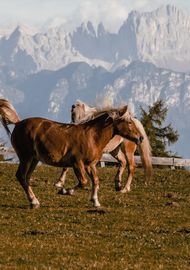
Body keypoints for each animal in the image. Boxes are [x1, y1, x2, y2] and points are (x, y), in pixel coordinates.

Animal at [0, 98, 142, 208]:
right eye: (129, 122)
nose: (140, 138)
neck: (92, 136)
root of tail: (18, 123)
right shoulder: (77, 163)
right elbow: (83, 182)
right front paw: (65, 191)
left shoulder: (90, 165)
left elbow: (95, 181)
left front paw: (95, 202)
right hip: (26, 157)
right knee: (21, 176)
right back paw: (34, 201)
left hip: (34, 159)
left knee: (26, 177)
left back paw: (34, 200)